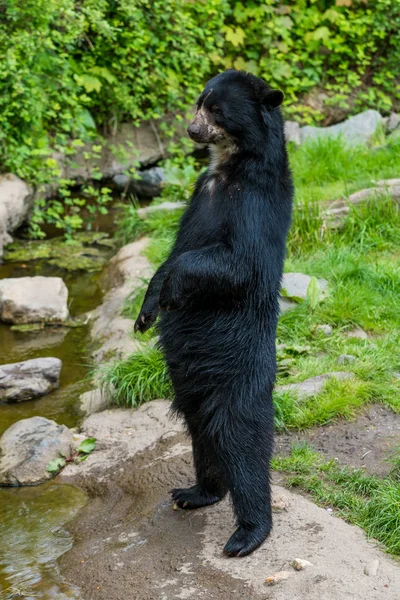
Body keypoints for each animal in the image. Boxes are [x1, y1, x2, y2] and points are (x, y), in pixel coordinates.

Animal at [134, 70, 294, 556]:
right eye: (199, 102)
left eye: (216, 110)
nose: (191, 129)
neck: (229, 165)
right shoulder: (197, 194)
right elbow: (172, 253)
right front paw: (147, 311)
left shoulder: (254, 204)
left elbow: (235, 263)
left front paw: (171, 293)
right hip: (191, 388)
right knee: (202, 437)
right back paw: (196, 492)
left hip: (237, 378)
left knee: (242, 444)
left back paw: (248, 533)